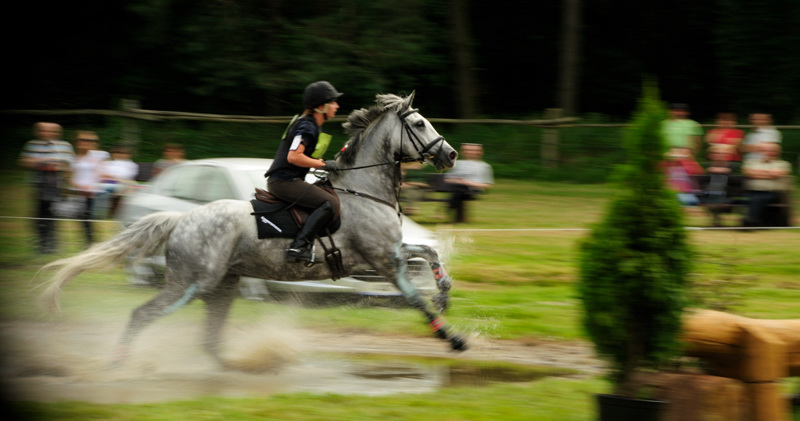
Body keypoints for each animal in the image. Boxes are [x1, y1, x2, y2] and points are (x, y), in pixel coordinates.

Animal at [40, 92, 466, 368]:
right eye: (418, 123)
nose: (451, 155)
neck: (364, 189)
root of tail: (181, 219)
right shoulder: (383, 261)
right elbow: (416, 300)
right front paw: (453, 338)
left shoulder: (389, 253)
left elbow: (430, 254)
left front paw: (445, 292)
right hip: (191, 284)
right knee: (143, 315)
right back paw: (118, 363)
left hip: (221, 286)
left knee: (209, 337)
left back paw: (239, 366)